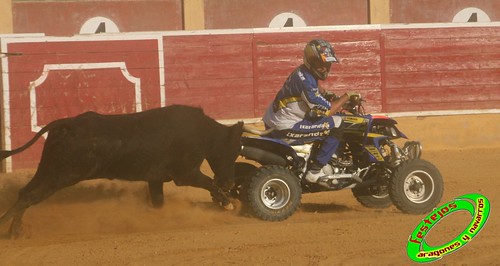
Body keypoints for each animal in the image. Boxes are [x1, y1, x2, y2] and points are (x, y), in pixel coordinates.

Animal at [0, 104, 243, 237]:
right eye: (232, 151)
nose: (230, 183)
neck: (203, 132)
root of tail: (66, 123)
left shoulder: (156, 179)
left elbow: (158, 202)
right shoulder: (186, 174)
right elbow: (209, 183)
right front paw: (230, 203)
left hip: (47, 169)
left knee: (24, 193)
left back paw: (15, 231)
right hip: (61, 175)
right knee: (30, 196)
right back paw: (9, 228)